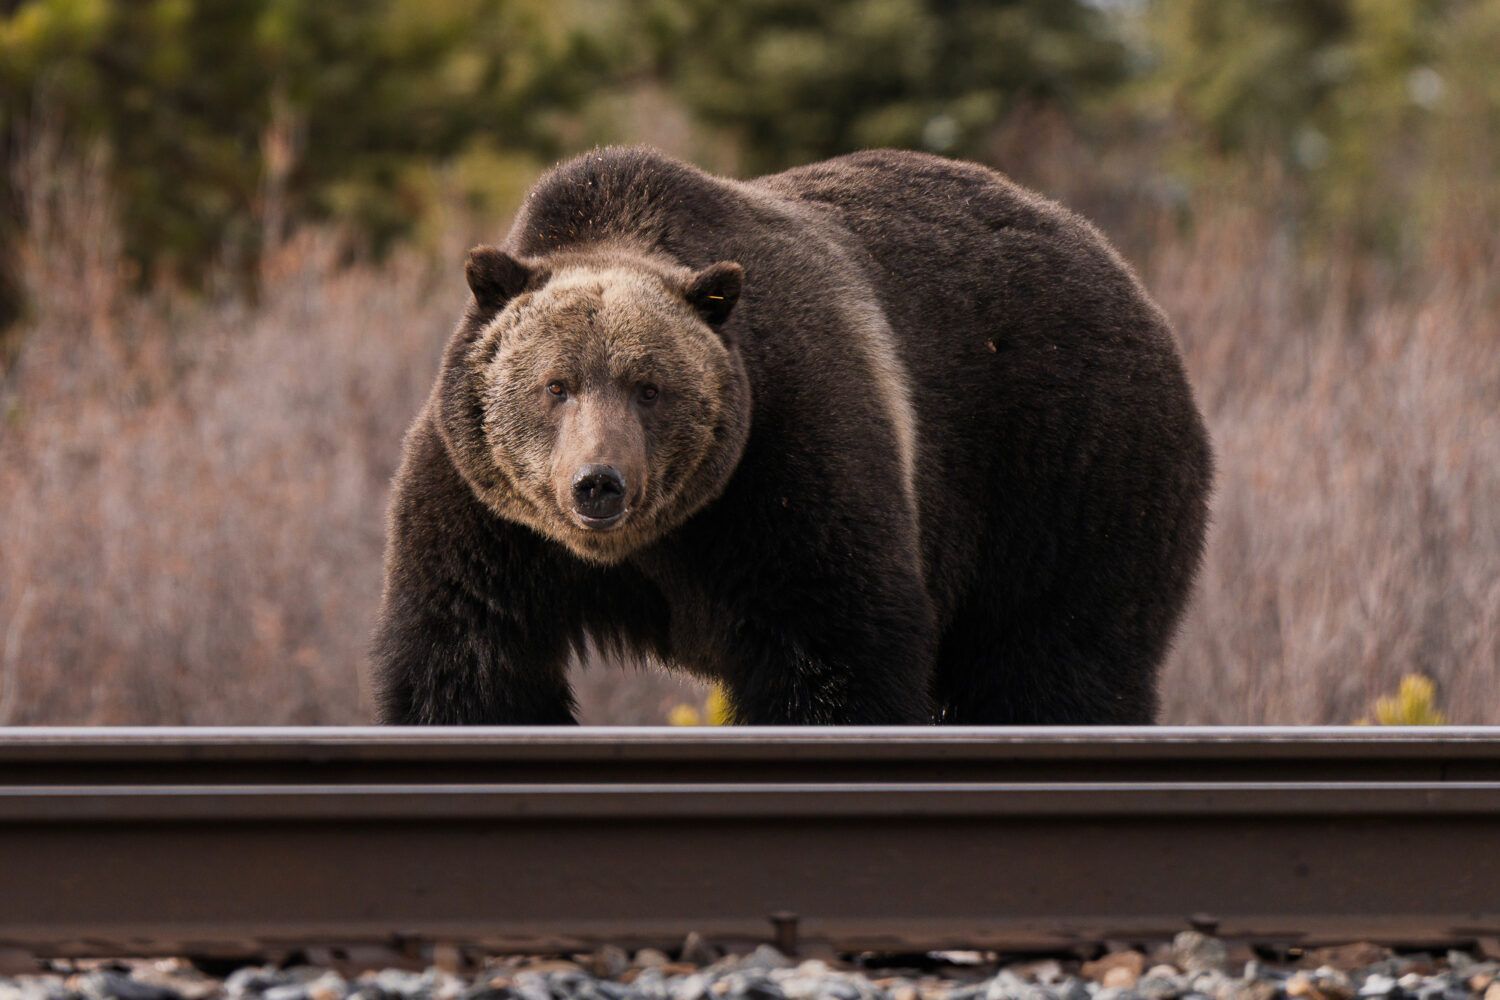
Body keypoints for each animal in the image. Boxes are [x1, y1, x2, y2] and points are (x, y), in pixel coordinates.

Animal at [372, 146, 1213, 726]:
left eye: (651, 387)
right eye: (555, 385)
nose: (599, 484)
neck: (649, 547)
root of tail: (1117, 265)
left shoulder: (786, 462)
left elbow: (836, 640)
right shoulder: (487, 515)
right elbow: (468, 658)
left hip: (1064, 462)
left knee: (1058, 651)